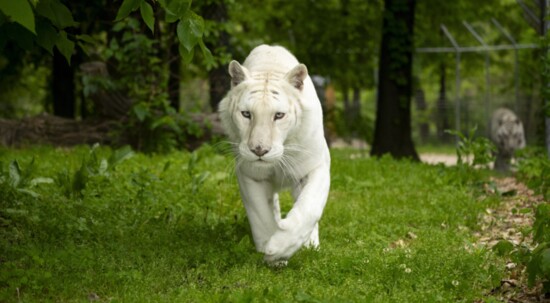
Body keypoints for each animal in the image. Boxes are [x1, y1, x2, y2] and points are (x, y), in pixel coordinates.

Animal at [219, 45, 332, 266]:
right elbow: (261, 216)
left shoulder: (317, 166)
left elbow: (310, 208)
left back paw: (311, 244)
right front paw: (272, 253)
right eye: (246, 114)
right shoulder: (249, 174)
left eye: (278, 115)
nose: (259, 150)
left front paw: (282, 247)